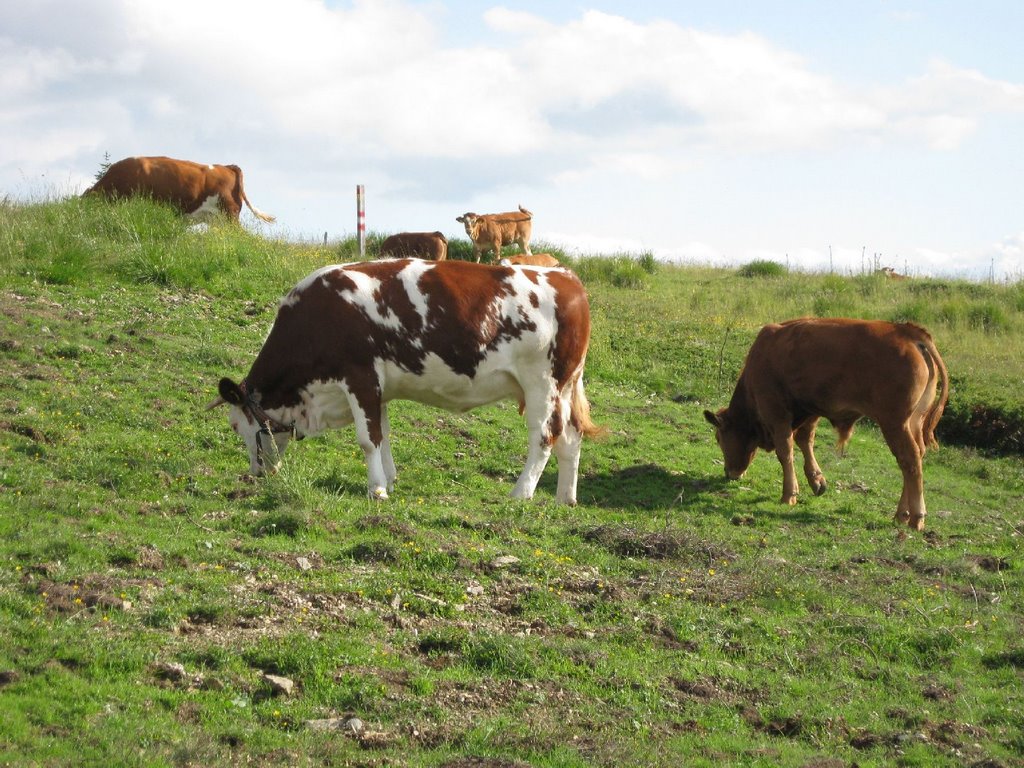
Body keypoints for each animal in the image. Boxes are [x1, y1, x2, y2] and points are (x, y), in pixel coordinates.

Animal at [210, 259, 602, 505]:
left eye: (235, 426)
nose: (256, 472)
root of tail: (566, 276)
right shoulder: (377, 388)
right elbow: (382, 435)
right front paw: (389, 479)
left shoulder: (359, 376)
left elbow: (367, 439)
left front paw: (377, 490)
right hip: (564, 387)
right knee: (571, 437)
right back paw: (564, 498)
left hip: (542, 383)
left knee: (545, 436)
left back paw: (521, 493)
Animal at [704, 317, 950, 528]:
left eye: (719, 438)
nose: (729, 473)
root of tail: (907, 332)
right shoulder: (810, 410)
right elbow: (805, 441)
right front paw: (817, 481)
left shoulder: (776, 412)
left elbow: (786, 451)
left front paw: (789, 494)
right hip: (913, 423)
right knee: (915, 458)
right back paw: (902, 514)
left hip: (895, 423)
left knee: (910, 461)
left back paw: (915, 517)